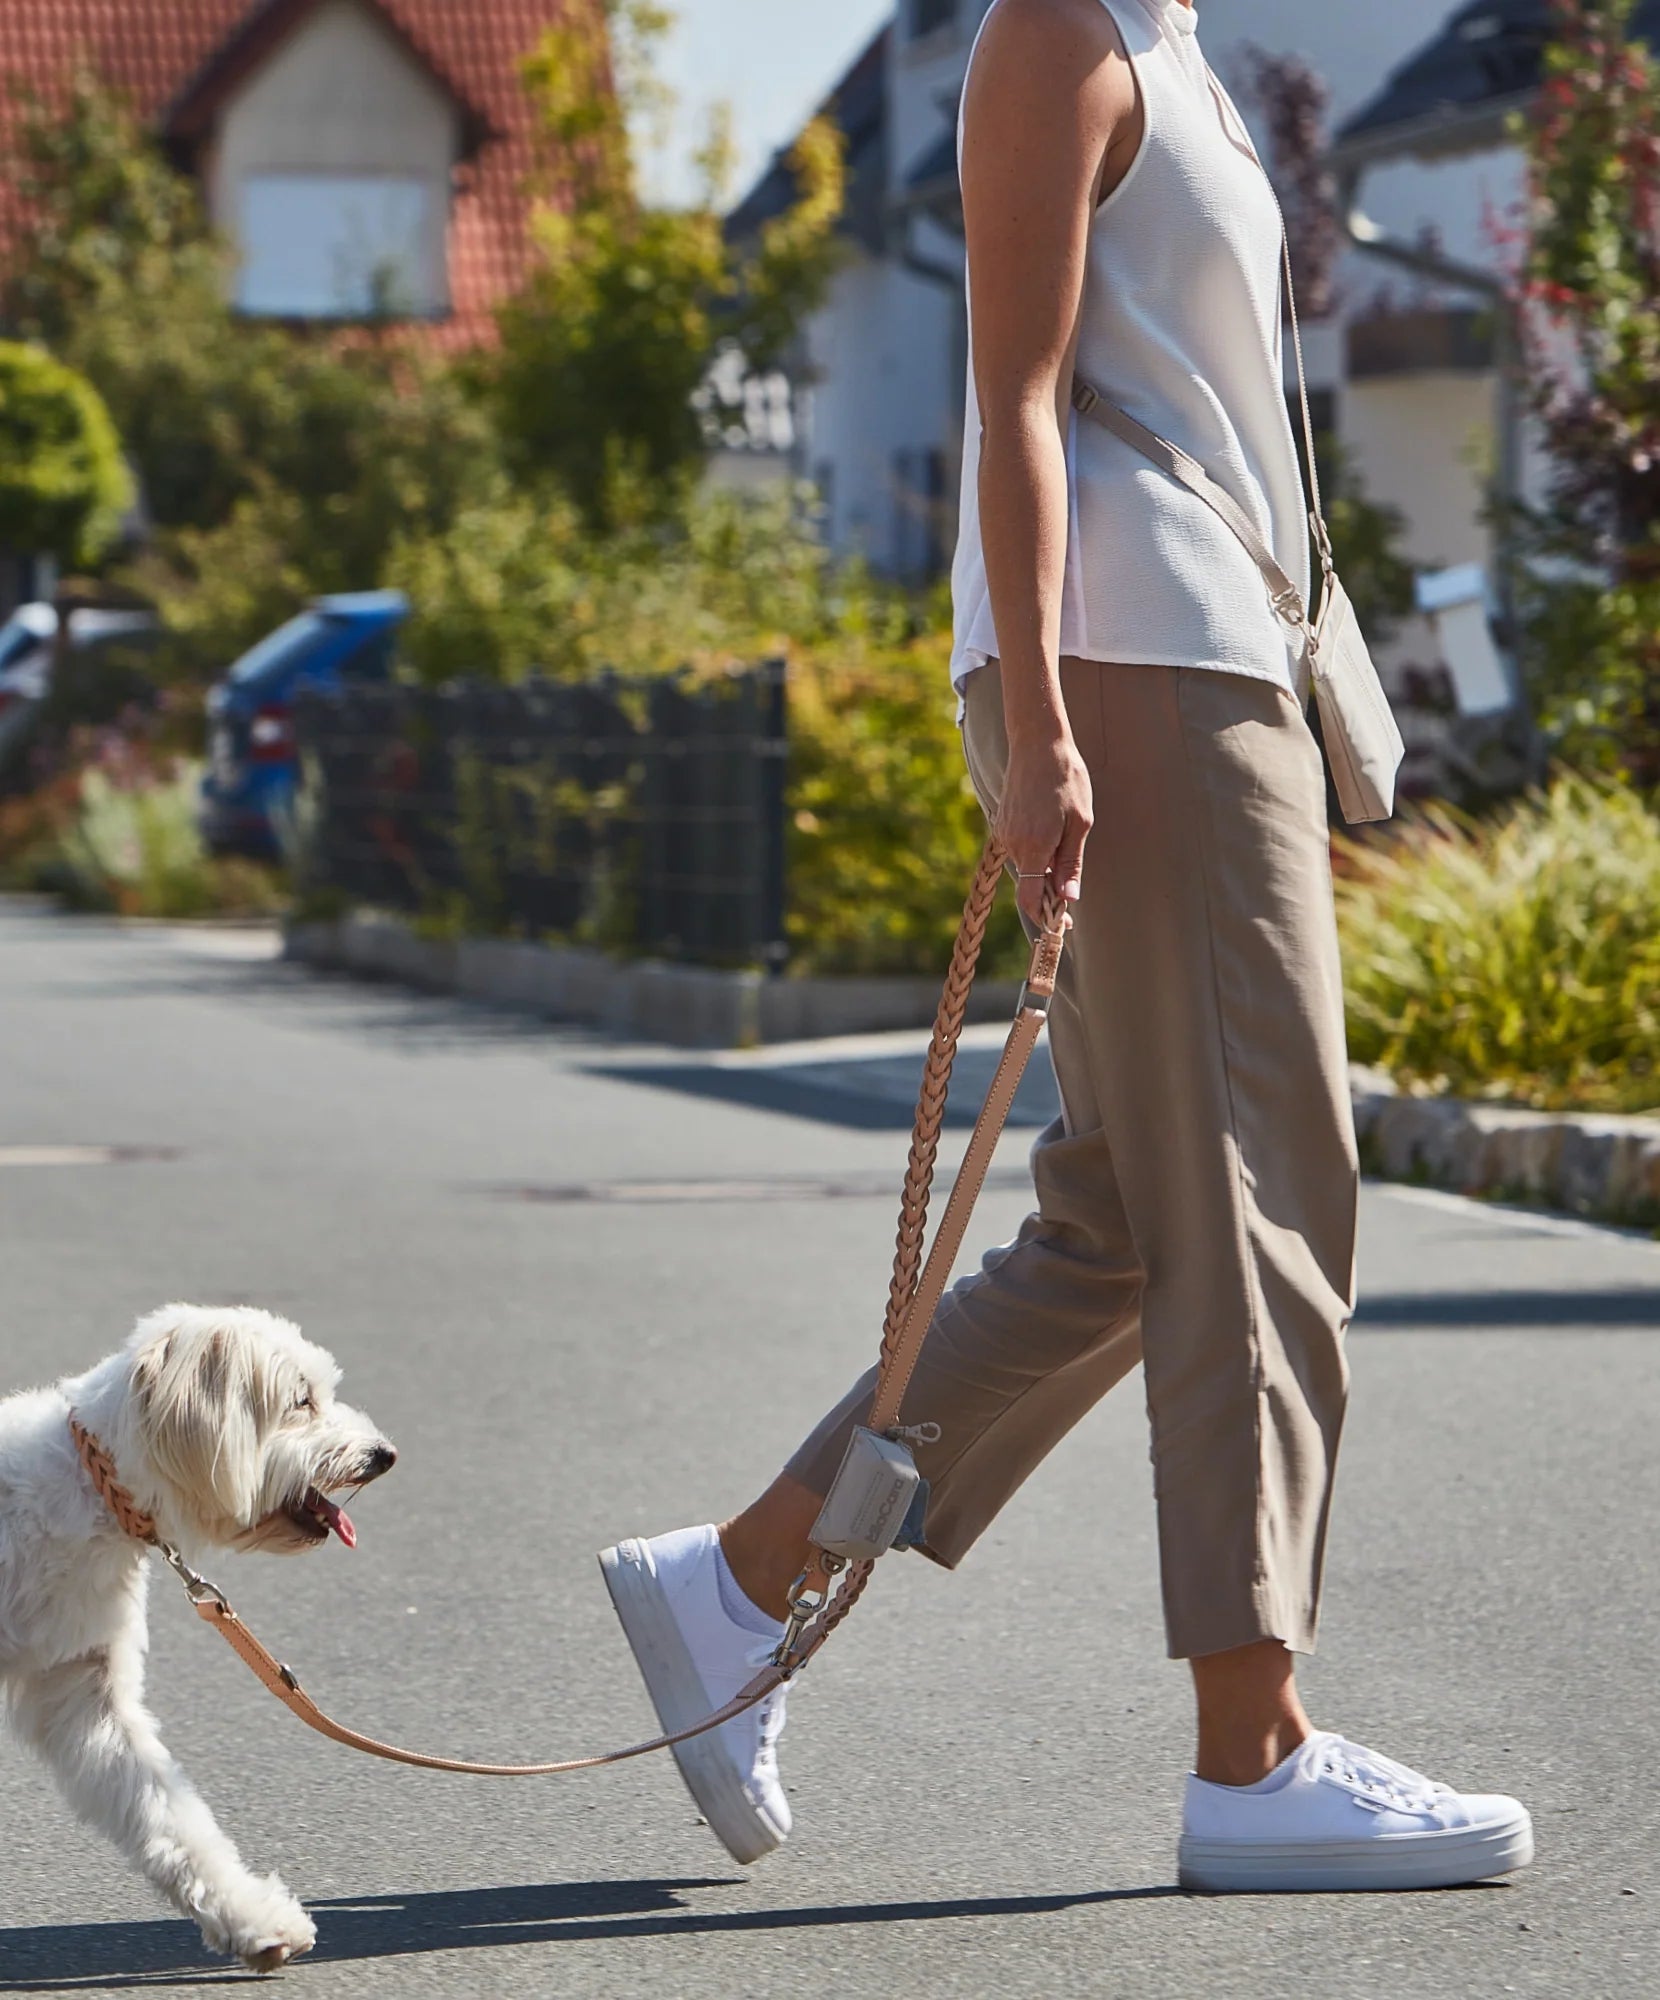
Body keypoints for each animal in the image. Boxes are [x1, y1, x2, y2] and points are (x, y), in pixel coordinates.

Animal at [0, 1304, 396, 1976]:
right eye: (302, 1401)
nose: (385, 1454)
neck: (88, 1482)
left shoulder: (84, 1687)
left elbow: (166, 1810)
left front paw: (253, 1920)